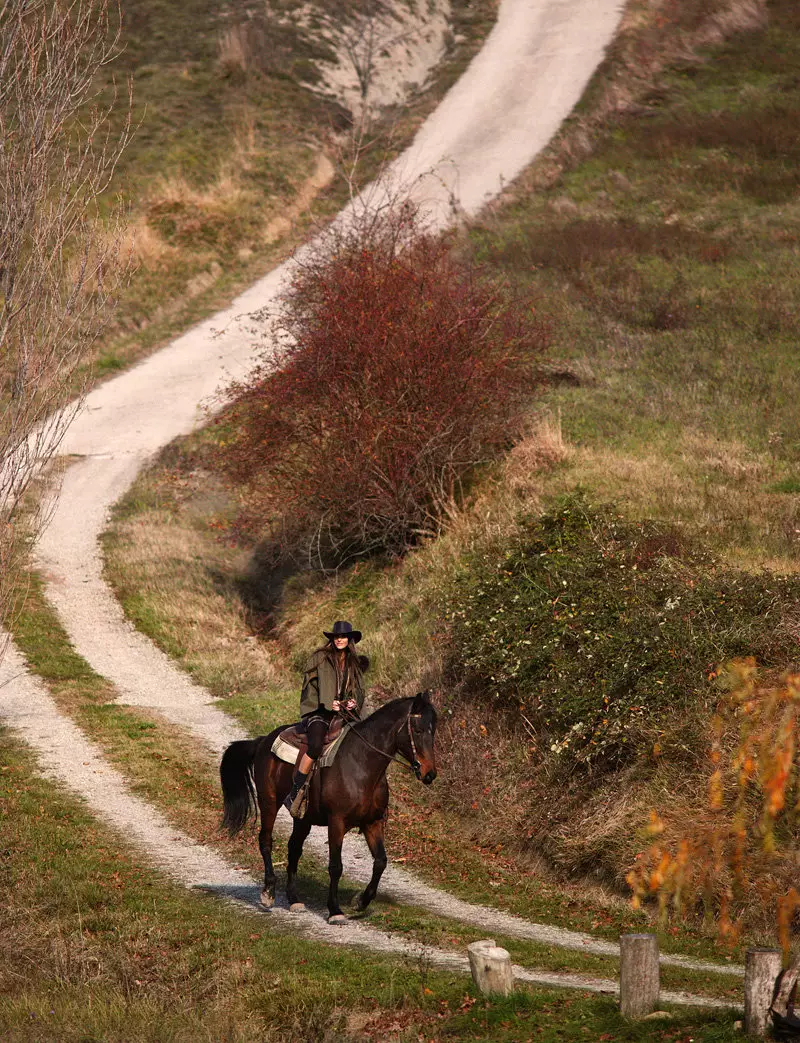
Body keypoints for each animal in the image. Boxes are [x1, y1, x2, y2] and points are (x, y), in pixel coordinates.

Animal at [219, 692, 438, 922]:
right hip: (269, 803)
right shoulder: (337, 822)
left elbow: (380, 861)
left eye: (433, 730)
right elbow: (335, 866)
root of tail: (263, 741)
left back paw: (294, 899)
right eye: (418, 730)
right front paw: (335, 910)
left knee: (293, 849)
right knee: (266, 841)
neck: (361, 764)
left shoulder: (372, 822)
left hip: (303, 818)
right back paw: (269, 892)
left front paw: (360, 901)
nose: (429, 774)